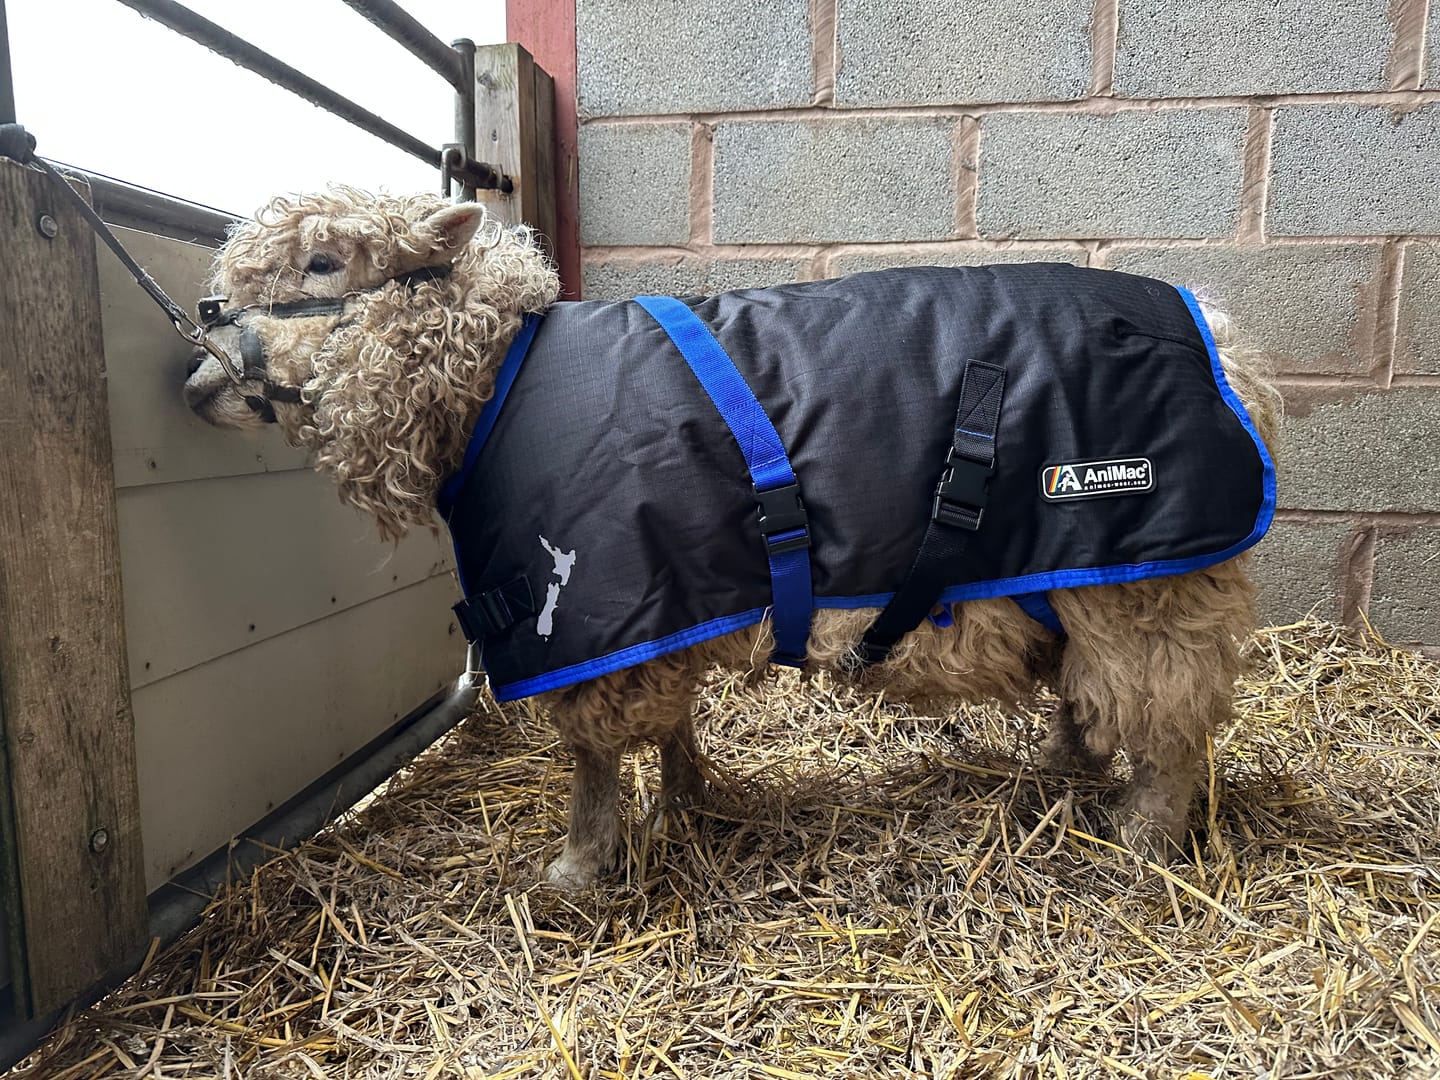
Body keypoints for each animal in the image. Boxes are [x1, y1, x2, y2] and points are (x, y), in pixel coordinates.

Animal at [183, 188, 1282, 890]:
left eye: (326, 262)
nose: (195, 379)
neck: (492, 374)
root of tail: (1231, 345)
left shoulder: (592, 607)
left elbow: (591, 757)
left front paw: (578, 866)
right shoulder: (664, 595)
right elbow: (669, 717)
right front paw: (682, 799)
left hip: (1156, 584)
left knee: (1170, 723)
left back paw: (1143, 840)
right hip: (1080, 571)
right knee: (1094, 694)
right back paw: (1065, 779)